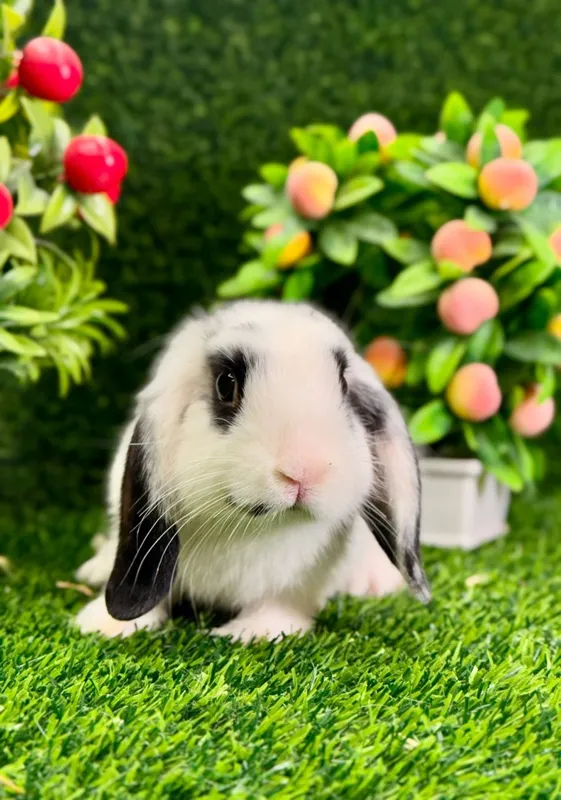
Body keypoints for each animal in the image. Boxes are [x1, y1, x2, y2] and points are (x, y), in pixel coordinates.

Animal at [75, 300, 430, 642]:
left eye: (343, 384)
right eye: (225, 384)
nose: (305, 468)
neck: (248, 530)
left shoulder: (299, 583)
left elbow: (279, 606)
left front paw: (249, 634)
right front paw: (101, 626)